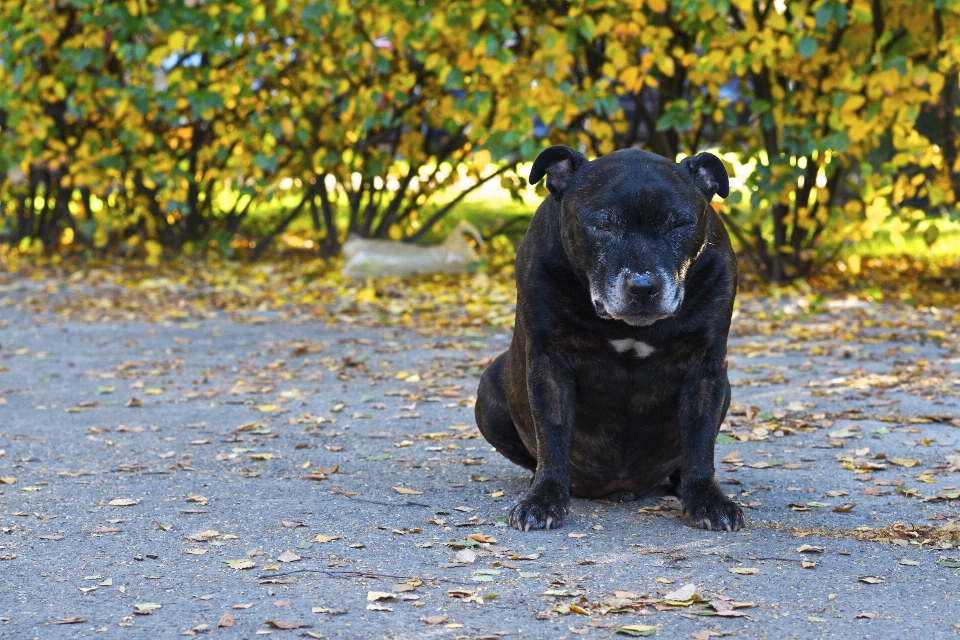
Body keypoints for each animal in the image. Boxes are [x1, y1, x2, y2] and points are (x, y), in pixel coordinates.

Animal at [474, 145, 744, 528]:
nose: (644, 287)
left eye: (679, 224)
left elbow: (701, 439)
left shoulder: (706, 367)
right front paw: (544, 498)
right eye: (603, 226)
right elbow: (552, 433)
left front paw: (708, 499)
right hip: (489, 388)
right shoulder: (548, 362)